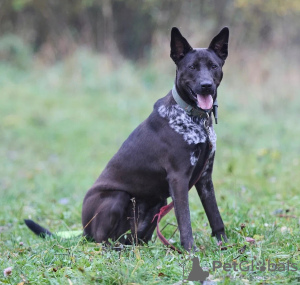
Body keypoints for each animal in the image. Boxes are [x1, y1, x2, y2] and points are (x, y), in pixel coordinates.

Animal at [25, 25, 230, 250]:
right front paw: (190, 251)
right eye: (192, 67)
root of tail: (83, 232)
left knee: (133, 239)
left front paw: (225, 245)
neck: (195, 119)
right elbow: (185, 221)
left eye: (213, 66)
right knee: (101, 239)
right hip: (118, 196)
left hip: (157, 204)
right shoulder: (178, 178)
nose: (206, 85)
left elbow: (215, 217)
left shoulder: (205, 178)